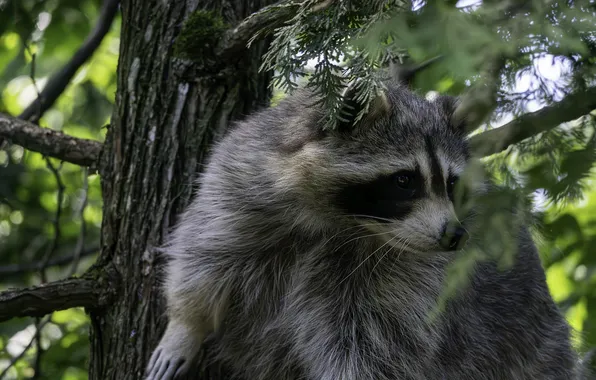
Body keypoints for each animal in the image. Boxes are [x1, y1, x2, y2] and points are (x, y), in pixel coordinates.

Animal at [144, 65, 576, 380]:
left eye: (452, 183)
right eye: (404, 180)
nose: (455, 236)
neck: (347, 222)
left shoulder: (407, 284)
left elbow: (370, 346)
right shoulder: (242, 180)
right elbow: (205, 254)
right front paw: (185, 325)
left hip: (532, 342)